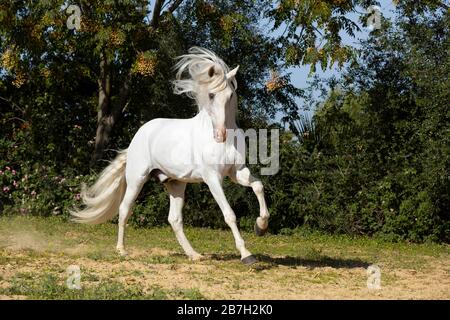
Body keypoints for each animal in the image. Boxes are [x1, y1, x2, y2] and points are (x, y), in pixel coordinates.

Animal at [72, 45, 268, 264]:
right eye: (210, 95)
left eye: (231, 95)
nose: (220, 135)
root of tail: (138, 137)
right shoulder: (213, 179)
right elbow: (230, 214)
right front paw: (246, 255)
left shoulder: (237, 173)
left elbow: (258, 186)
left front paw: (260, 227)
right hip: (137, 179)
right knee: (124, 209)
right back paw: (122, 250)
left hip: (176, 183)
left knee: (174, 219)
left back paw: (194, 255)